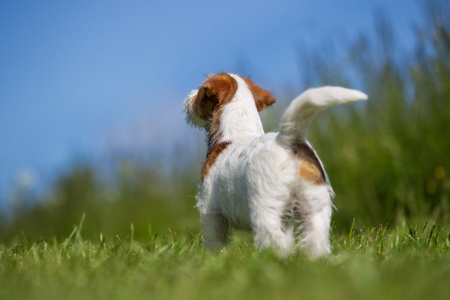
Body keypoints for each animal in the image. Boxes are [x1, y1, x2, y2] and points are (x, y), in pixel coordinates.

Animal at [182, 72, 366, 258]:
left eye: (200, 93)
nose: (189, 98)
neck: (237, 132)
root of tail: (288, 140)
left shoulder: (210, 210)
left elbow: (214, 242)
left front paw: (212, 259)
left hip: (266, 209)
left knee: (277, 242)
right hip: (314, 206)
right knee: (315, 241)